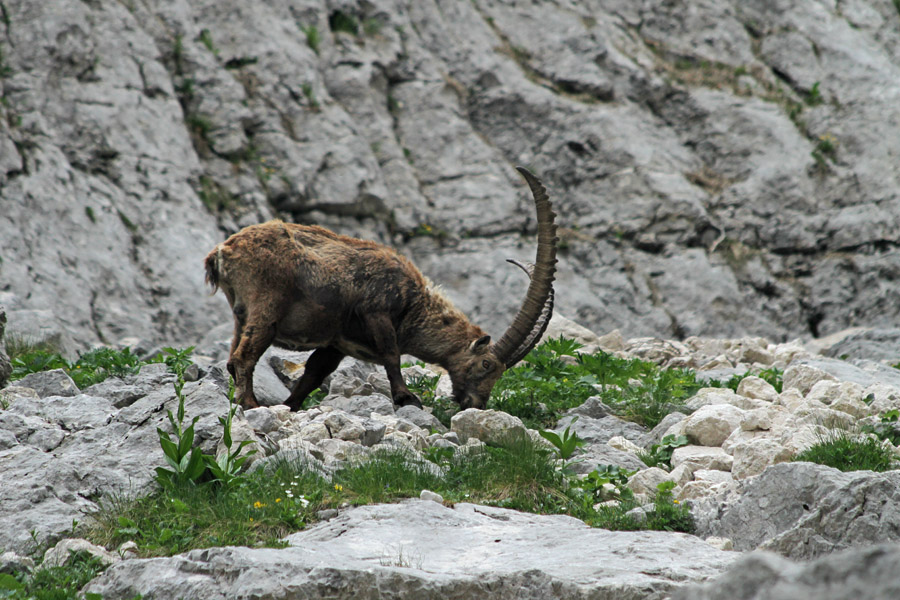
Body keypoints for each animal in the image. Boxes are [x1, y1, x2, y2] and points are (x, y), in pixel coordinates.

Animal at [204, 167, 557, 411]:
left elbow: (314, 373)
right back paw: (250, 404)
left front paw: (289, 406)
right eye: (486, 365)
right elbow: (391, 354)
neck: (415, 307)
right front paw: (406, 397)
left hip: (241, 313)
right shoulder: (377, 310)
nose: (476, 404)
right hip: (267, 305)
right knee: (243, 358)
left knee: (233, 357)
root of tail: (222, 251)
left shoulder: (336, 343)